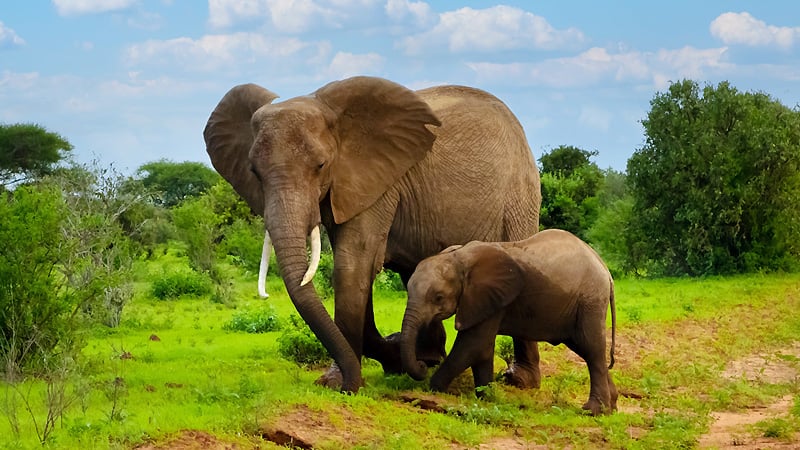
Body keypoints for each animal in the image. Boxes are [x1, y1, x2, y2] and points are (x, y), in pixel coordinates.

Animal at [203, 76, 541, 393]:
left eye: (321, 165)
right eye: (254, 172)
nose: (346, 384)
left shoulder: (378, 183)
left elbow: (351, 266)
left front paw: (339, 383)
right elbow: (357, 273)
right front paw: (396, 361)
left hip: (520, 195)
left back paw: (519, 379)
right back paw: (430, 358)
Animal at [401, 229, 618, 415]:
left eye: (438, 297)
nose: (423, 364)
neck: (459, 258)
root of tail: (606, 271)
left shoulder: (491, 299)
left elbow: (473, 346)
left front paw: (434, 388)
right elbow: (482, 348)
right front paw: (485, 396)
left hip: (590, 301)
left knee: (592, 349)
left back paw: (593, 411)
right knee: (585, 349)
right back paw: (612, 407)